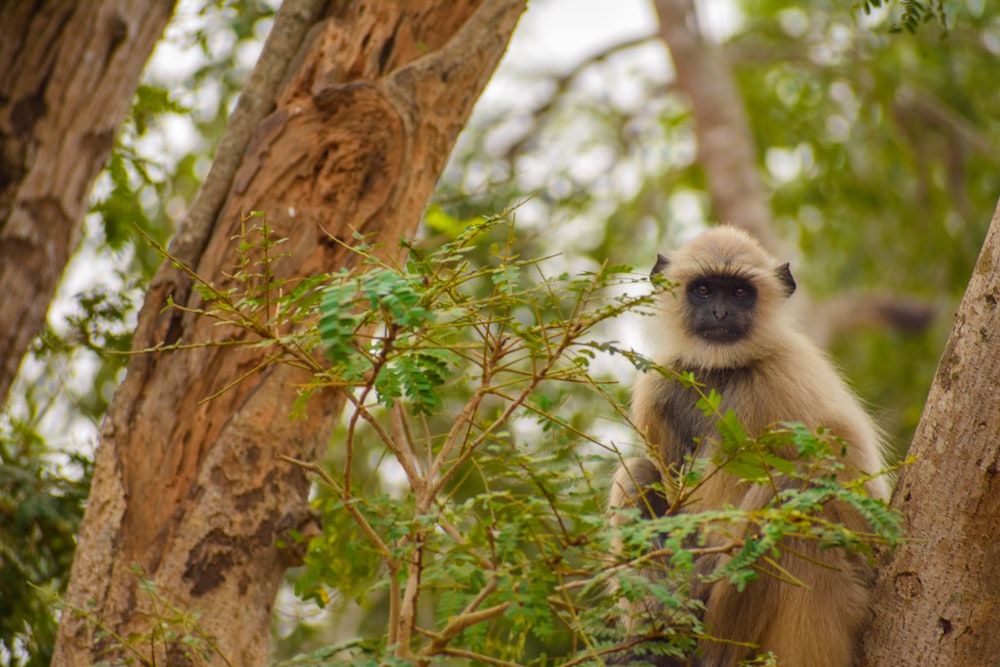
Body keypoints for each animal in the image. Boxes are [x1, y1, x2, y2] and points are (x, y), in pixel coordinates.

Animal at [608, 227, 892, 667]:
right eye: (704, 290)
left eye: (740, 292)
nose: (720, 314)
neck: (723, 371)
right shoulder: (661, 385)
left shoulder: (781, 381)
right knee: (634, 473)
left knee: (790, 499)